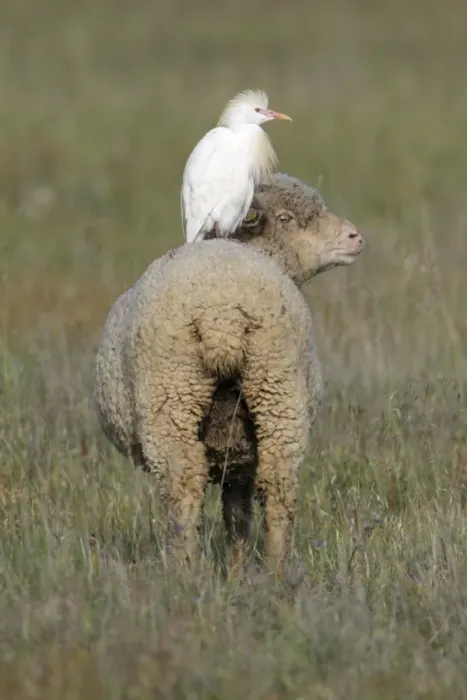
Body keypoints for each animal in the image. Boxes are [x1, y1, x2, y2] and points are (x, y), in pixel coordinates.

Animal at [94, 172, 365, 574]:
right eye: (285, 218)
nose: (355, 237)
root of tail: (221, 313)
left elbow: (234, 512)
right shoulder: (239, 453)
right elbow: (238, 513)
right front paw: (237, 571)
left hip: (172, 398)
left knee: (183, 487)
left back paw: (184, 572)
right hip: (277, 388)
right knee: (278, 484)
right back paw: (275, 571)